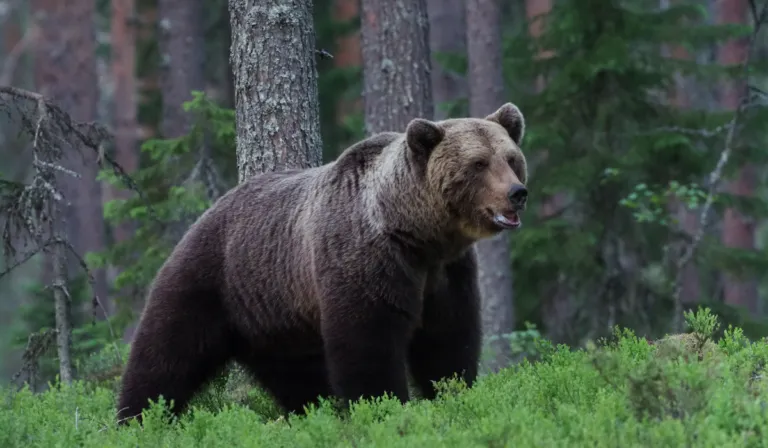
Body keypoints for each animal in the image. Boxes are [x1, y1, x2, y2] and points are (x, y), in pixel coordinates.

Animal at [115, 102, 529, 424]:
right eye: (478, 163)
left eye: (511, 159)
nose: (517, 193)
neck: (418, 234)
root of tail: (207, 211)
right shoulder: (368, 260)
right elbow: (368, 343)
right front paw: (383, 406)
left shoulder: (447, 273)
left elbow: (448, 339)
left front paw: (452, 392)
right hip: (211, 279)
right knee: (166, 353)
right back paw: (137, 418)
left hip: (274, 316)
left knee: (297, 375)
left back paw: (313, 411)